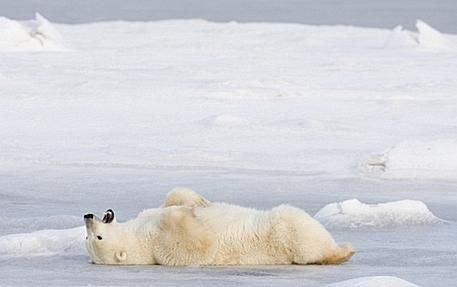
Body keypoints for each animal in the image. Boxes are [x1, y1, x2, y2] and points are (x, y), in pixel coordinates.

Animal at [83, 188, 352, 266]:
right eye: (96, 239)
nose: (87, 216)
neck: (139, 235)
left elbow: (172, 198)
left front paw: (196, 202)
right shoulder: (160, 248)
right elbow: (196, 244)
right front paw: (185, 213)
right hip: (282, 231)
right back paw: (343, 250)